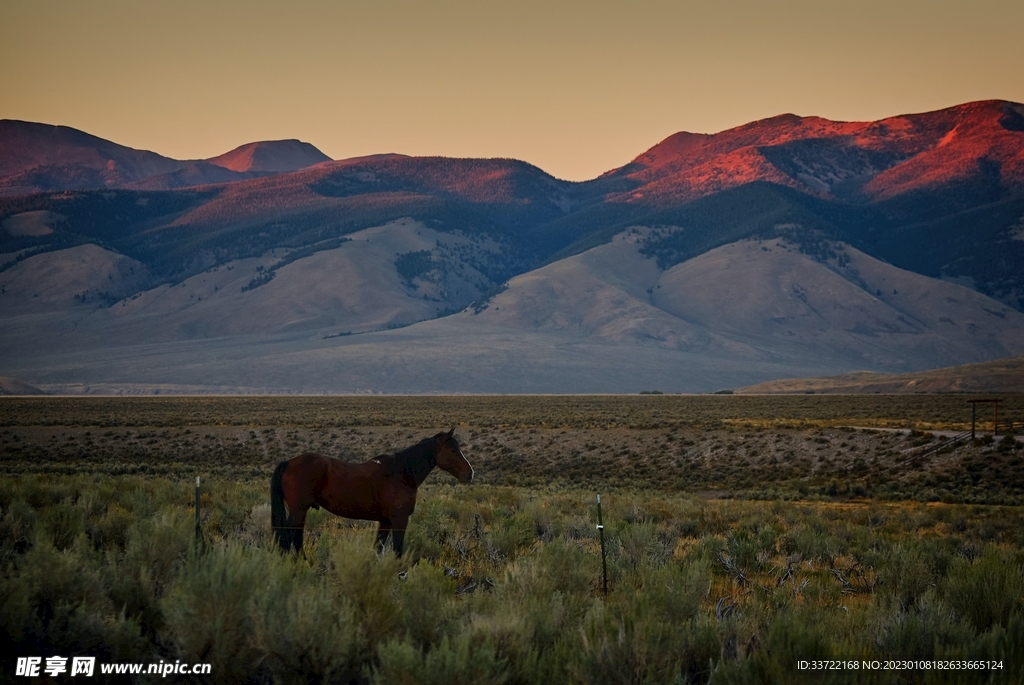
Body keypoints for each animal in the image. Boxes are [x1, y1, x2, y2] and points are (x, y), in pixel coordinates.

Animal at [270, 428, 473, 556]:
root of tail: (289, 462)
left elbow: (378, 548)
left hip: (301, 511)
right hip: (298, 510)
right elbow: (398, 551)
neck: (402, 472)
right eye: (453, 450)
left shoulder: (385, 522)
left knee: (296, 539)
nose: (470, 473)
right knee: (288, 539)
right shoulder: (399, 520)